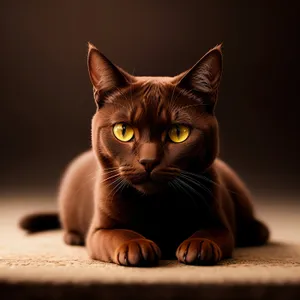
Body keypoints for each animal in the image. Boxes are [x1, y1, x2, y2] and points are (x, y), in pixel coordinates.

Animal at [19, 42, 270, 268]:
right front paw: (136, 246)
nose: (148, 161)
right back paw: (73, 236)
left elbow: (212, 232)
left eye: (178, 133)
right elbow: (118, 234)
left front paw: (199, 245)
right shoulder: (99, 231)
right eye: (123, 131)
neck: (155, 205)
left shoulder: (220, 222)